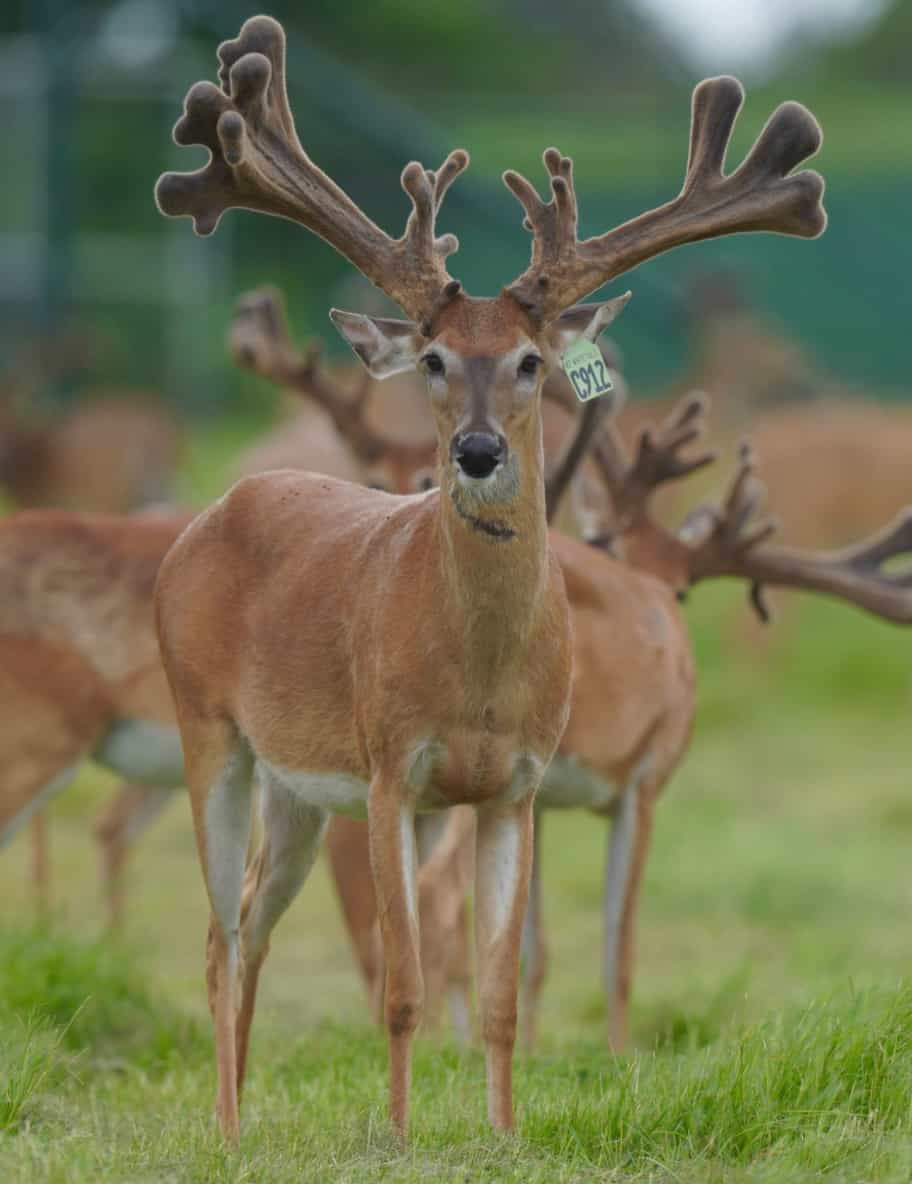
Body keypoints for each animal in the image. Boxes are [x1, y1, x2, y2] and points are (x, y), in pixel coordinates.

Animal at [151, 13, 829, 1140]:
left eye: (528, 360)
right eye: (431, 358)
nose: (473, 452)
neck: (475, 676)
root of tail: (209, 514)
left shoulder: (515, 782)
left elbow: (506, 984)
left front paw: (507, 1133)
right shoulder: (392, 767)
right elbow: (405, 983)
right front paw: (398, 1135)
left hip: (295, 788)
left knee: (246, 922)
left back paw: (236, 1121)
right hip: (208, 730)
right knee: (215, 935)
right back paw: (226, 1126)